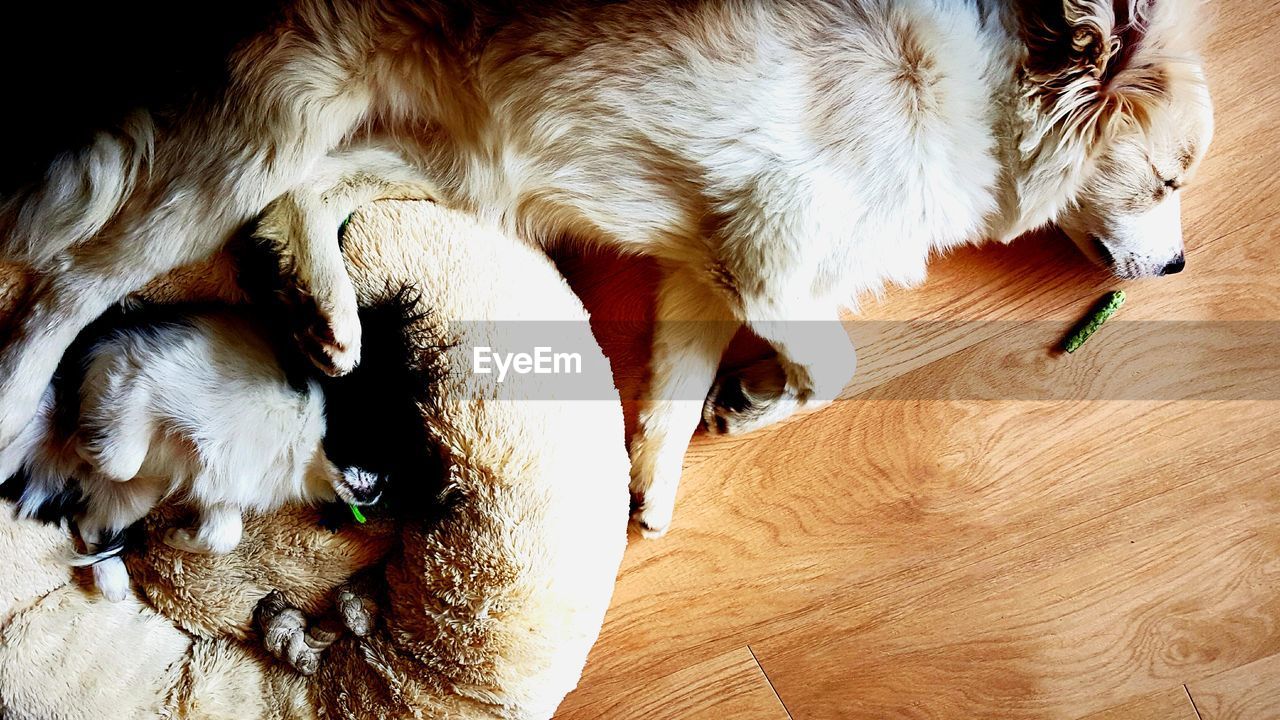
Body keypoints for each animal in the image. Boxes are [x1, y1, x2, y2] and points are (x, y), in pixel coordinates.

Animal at [0, 0, 1213, 532]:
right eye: (1168, 177)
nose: (1176, 268)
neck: (986, 94)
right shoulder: (766, 263)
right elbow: (837, 366)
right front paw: (762, 398)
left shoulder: (706, 274)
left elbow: (672, 400)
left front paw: (662, 477)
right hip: (270, 132)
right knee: (70, 286)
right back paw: (20, 402)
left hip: (442, 157)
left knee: (309, 202)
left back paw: (330, 317)